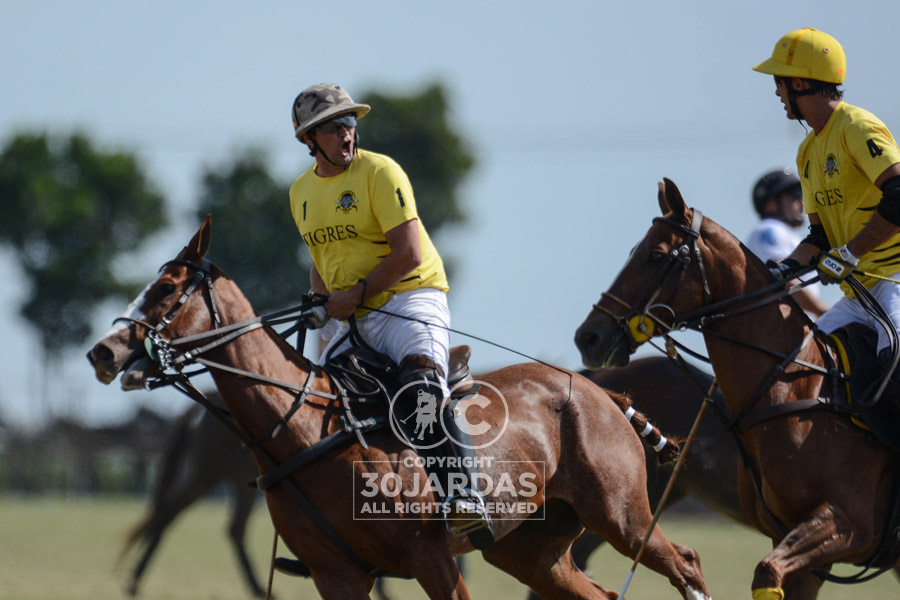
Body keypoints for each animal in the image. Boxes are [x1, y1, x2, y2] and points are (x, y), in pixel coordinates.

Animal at [91, 217, 712, 600]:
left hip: (622, 515)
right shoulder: (337, 575)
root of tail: (603, 393)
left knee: (685, 561)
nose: (104, 351)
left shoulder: (431, 559)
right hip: (532, 550)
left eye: (166, 290)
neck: (304, 430)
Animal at [576, 179, 900, 600]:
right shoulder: (807, 539)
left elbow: (768, 571)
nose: (589, 337)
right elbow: (768, 571)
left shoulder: (848, 524)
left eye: (655, 255)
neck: (795, 388)